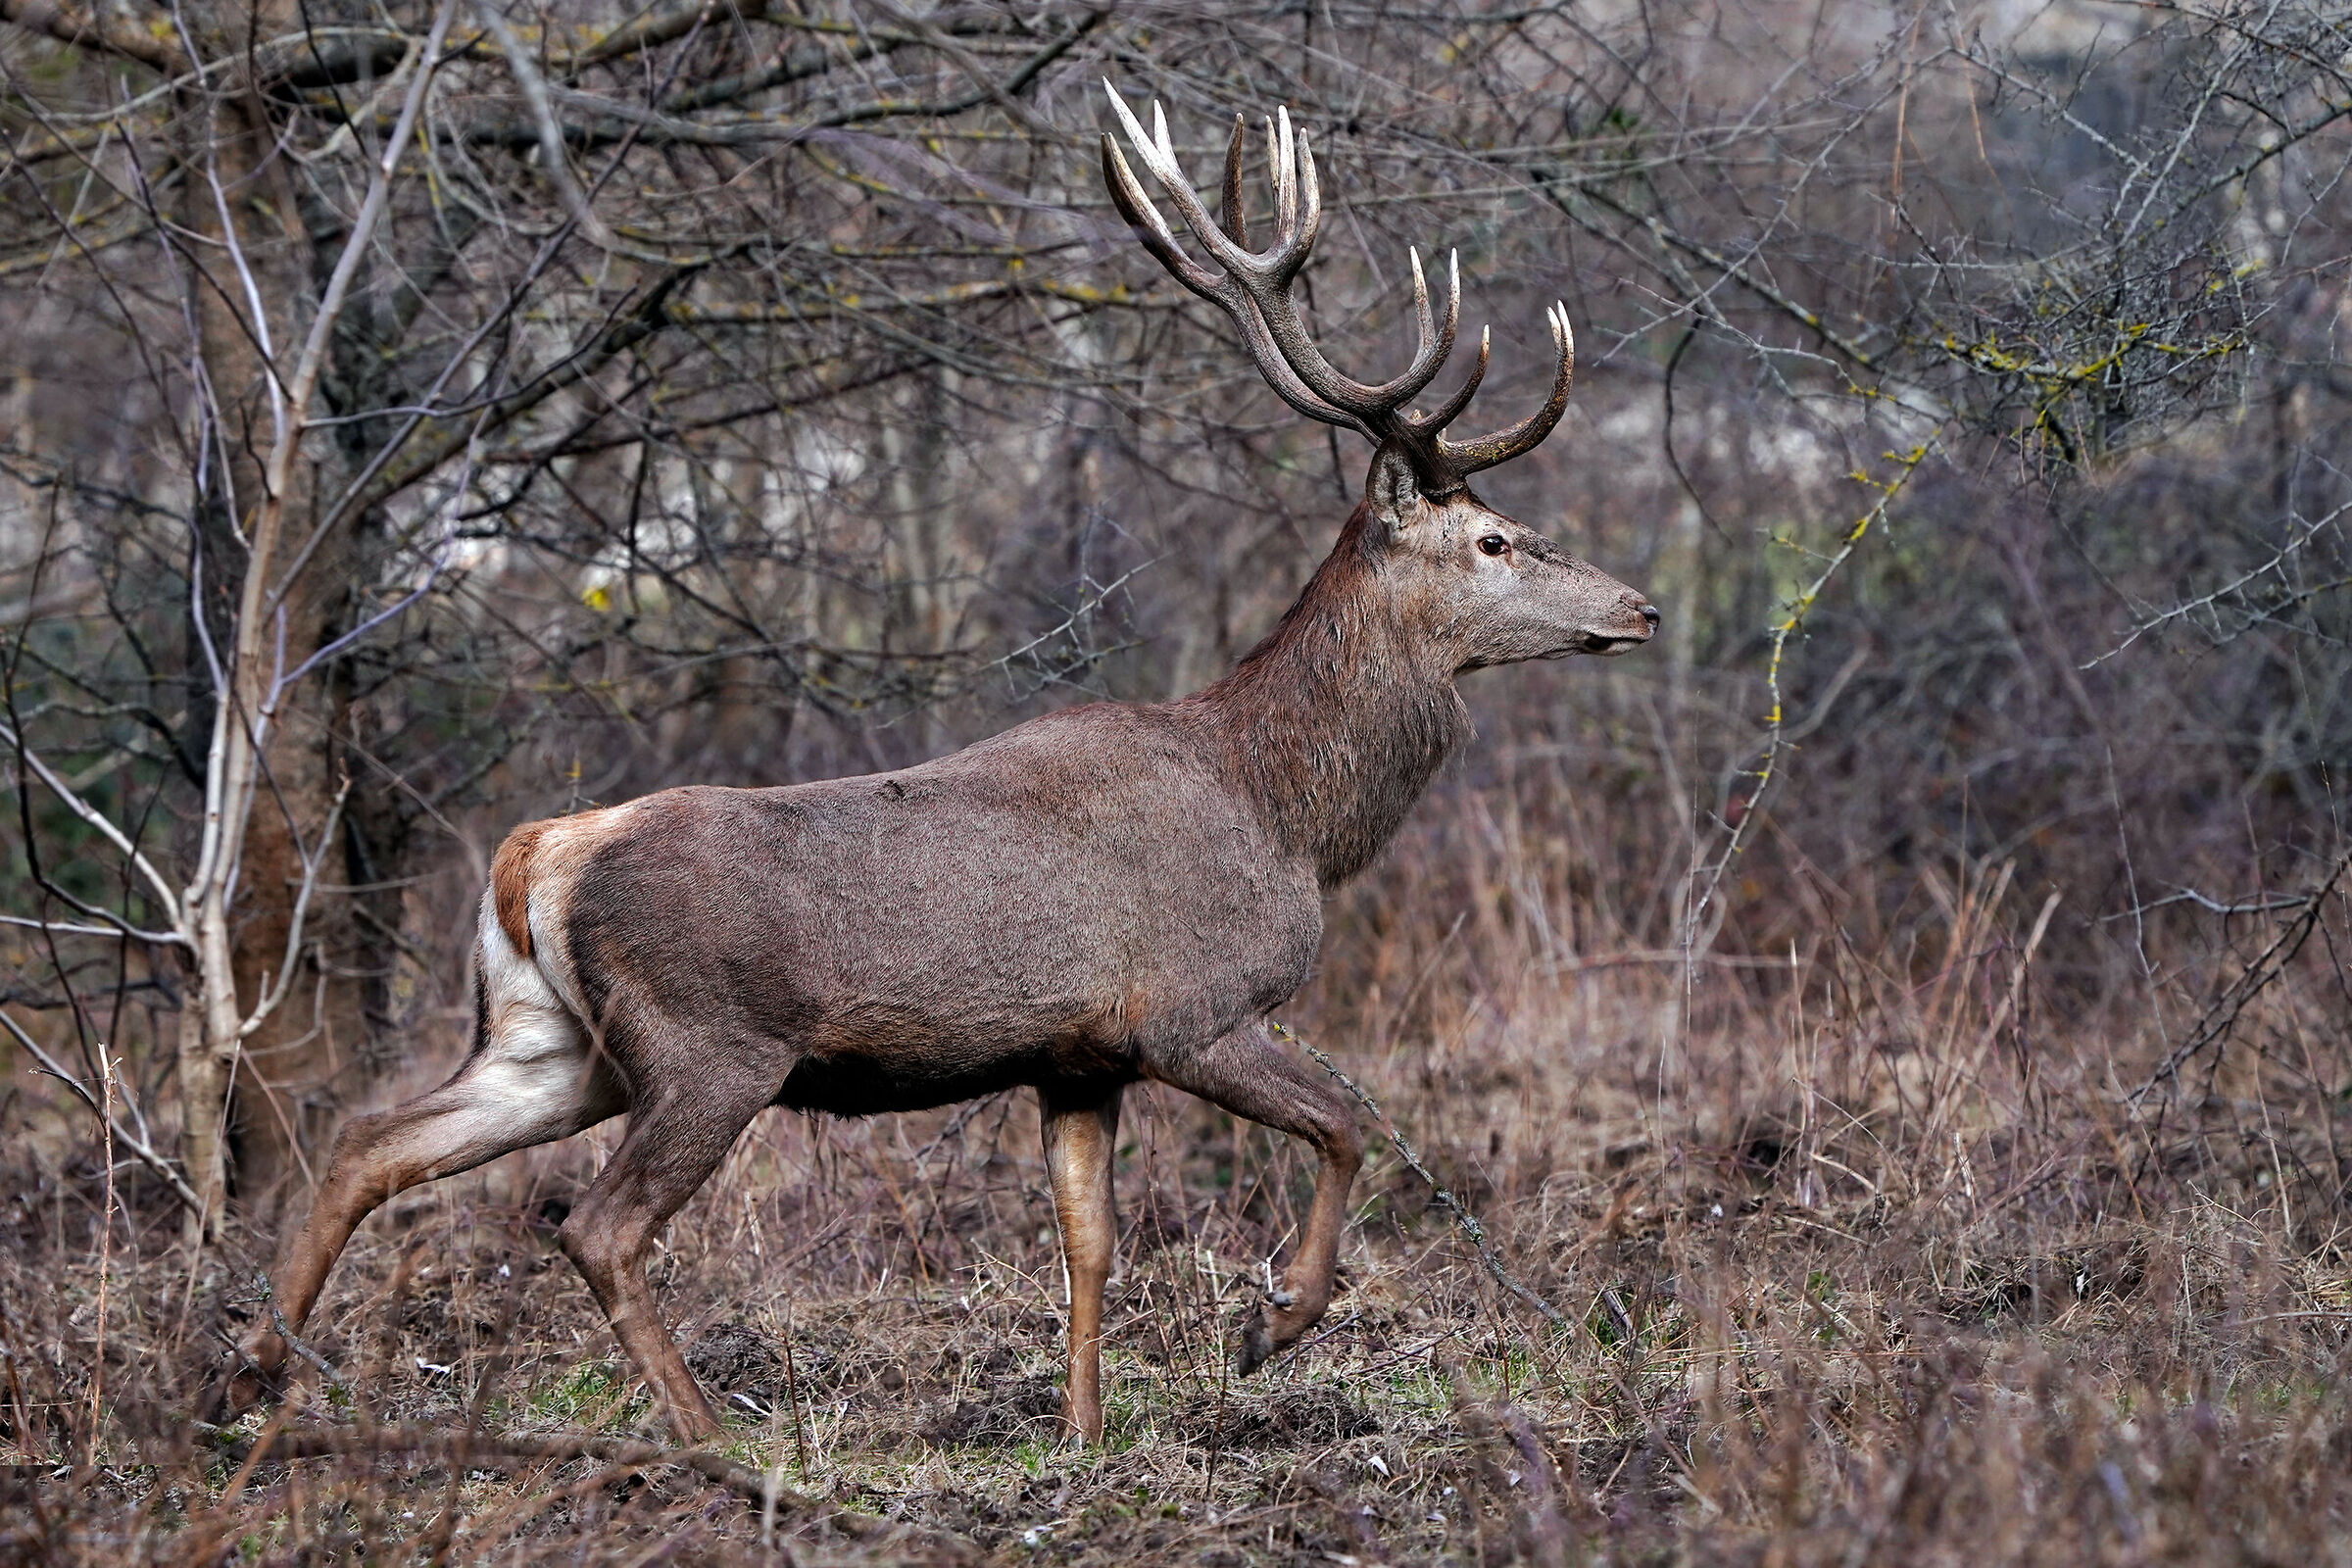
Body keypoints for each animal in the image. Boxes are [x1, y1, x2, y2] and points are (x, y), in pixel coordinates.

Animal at [216, 88, 1657, 1447]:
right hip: (706, 1044)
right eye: (1495, 537)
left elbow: (1088, 1243)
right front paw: (1272, 1323)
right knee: (596, 1224)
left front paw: (1082, 1432)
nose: (1638, 606)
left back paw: (254, 1374)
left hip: (552, 1042)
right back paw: (706, 1436)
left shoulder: (1079, 1058)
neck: (1288, 807)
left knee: (367, 1141)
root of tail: (535, 858)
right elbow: (1354, 1120)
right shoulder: (1192, 1006)